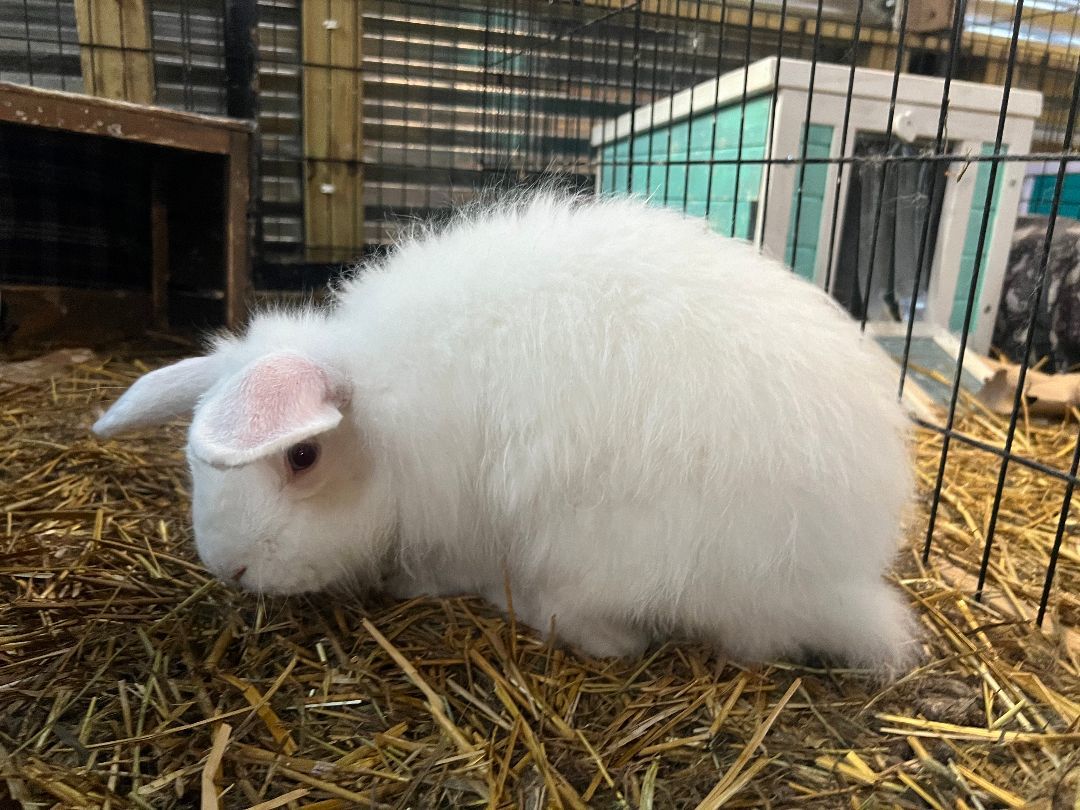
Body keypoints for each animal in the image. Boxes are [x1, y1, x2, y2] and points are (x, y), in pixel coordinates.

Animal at [93, 190, 918, 674]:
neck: (386, 414)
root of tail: (830, 583)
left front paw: (410, 582)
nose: (229, 569)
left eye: (302, 455)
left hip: (595, 543)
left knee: (591, 620)